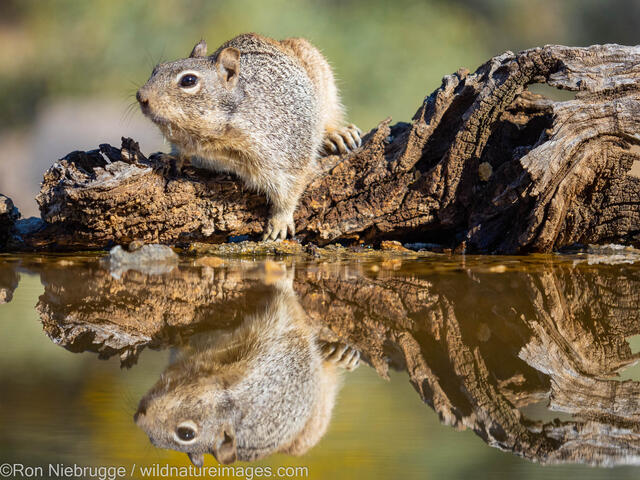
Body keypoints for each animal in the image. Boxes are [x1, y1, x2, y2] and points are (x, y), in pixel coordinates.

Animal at [138, 32, 362, 239]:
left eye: (189, 80)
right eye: (156, 69)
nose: (141, 96)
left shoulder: (289, 151)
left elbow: (290, 189)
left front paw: (279, 221)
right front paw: (170, 157)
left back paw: (337, 134)